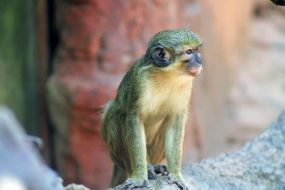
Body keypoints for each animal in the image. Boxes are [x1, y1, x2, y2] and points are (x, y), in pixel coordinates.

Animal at [101, 28, 201, 190]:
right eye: (189, 51)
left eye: (197, 51)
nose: (199, 60)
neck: (167, 75)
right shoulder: (140, 81)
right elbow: (134, 118)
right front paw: (139, 176)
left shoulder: (186, 85)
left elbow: (175, 122)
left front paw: (176, 175)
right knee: (115, 112)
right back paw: (147, 167)